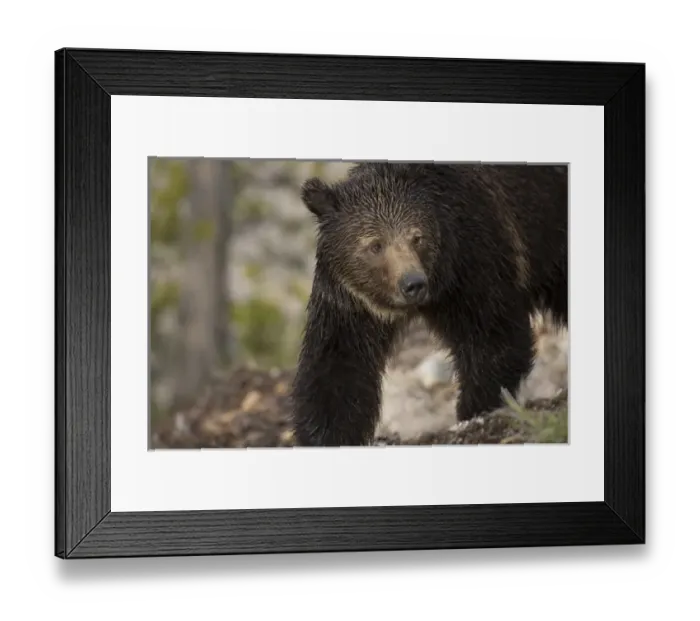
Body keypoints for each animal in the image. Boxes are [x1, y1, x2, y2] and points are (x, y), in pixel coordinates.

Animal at [289, 162, 568, 447]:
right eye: (375, 245)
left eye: (417, 237)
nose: (413, 283)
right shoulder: (352, 303)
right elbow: (336, 368)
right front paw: (327, 434)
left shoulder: (472, 263)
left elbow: (493, 336)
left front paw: (472, 409)